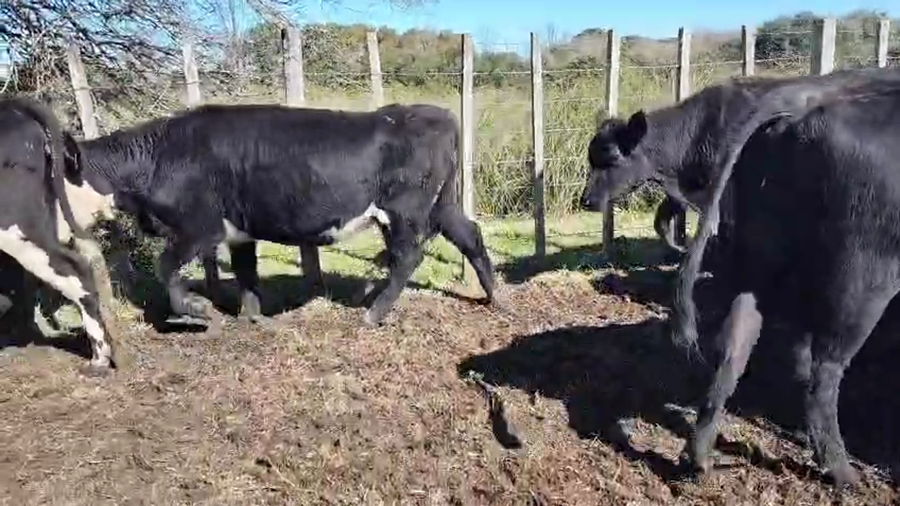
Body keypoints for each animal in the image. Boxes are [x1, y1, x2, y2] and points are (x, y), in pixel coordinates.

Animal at [60, 102, 495, 328]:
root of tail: (433, 112)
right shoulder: (238, 229)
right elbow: (247, 273)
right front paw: (252, 319)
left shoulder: (199, 229)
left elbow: (165, 267)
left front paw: (199, 309)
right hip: (440, 205)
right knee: (469, 235)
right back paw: (494, 297)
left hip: (403, 210)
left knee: (408, 257)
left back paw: (372, 314)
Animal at [671, 81, 900, 487]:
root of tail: (800, 109)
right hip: (866, 273)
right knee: (824, 368)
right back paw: (845, 475)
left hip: (760, 259)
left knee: (735, 343)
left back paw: (700, 462)